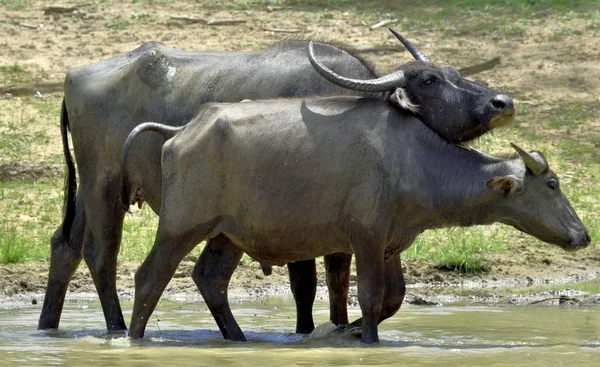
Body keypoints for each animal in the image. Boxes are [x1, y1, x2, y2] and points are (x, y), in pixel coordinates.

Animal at [41, 31, 516, 334]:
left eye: (454, 71)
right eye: (431, 80)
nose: (502, 102)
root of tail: (73, 77)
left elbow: (346, 286)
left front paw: (339, 328)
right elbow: (306, 286)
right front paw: (308, 331)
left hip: (88, 191)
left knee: (65, 247)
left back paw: (48, 326)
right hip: (104, 186)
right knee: (101, 254)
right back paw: (115, 328)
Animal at [122, 61, 592, 344]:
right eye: (552, 184)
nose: (583, 236)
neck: (415, 158)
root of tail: (184, 130)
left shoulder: (392, 243)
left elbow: (392, 299)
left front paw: (340, 333)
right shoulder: (365, 238)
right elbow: (368, 297)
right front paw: (365, 339)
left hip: (227, 235)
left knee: (210, 279)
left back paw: (238, 339)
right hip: (181, 227)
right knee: (149, 278)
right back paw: (132, 338)